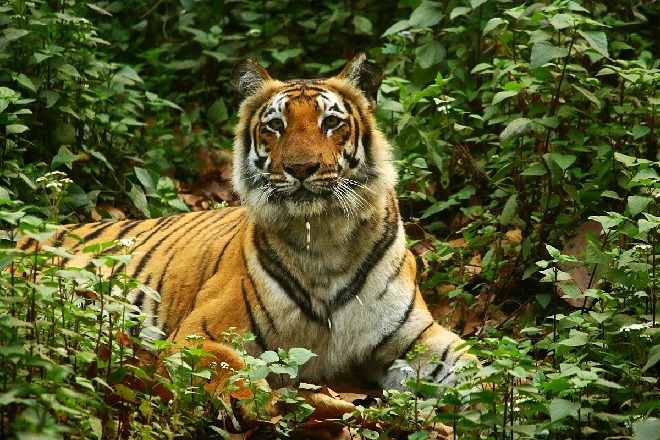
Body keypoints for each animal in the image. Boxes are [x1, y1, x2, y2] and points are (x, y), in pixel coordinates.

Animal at [24, 54, 476, 395]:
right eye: (275, 125)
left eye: (331, 122)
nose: (301, 168)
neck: (323, 238)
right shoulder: (200, 333)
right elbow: (230, 369)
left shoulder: (415, 337)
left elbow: (476, 364)